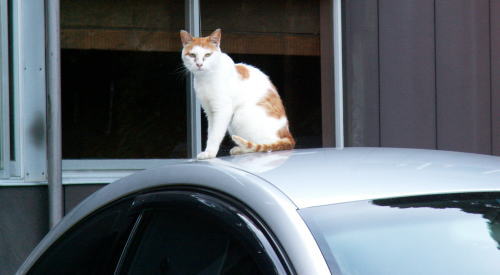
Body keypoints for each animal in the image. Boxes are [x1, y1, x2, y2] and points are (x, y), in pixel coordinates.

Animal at [180, 28, 294, 160]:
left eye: (208, 55)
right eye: (192, 55)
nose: (199, 64)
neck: (206, 79)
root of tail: (288, 136)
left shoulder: (222, 110)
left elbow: (215, 134)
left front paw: (210, 153)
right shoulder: (209, 111)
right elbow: (211, 132)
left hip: (240, 116)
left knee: (266, 146)